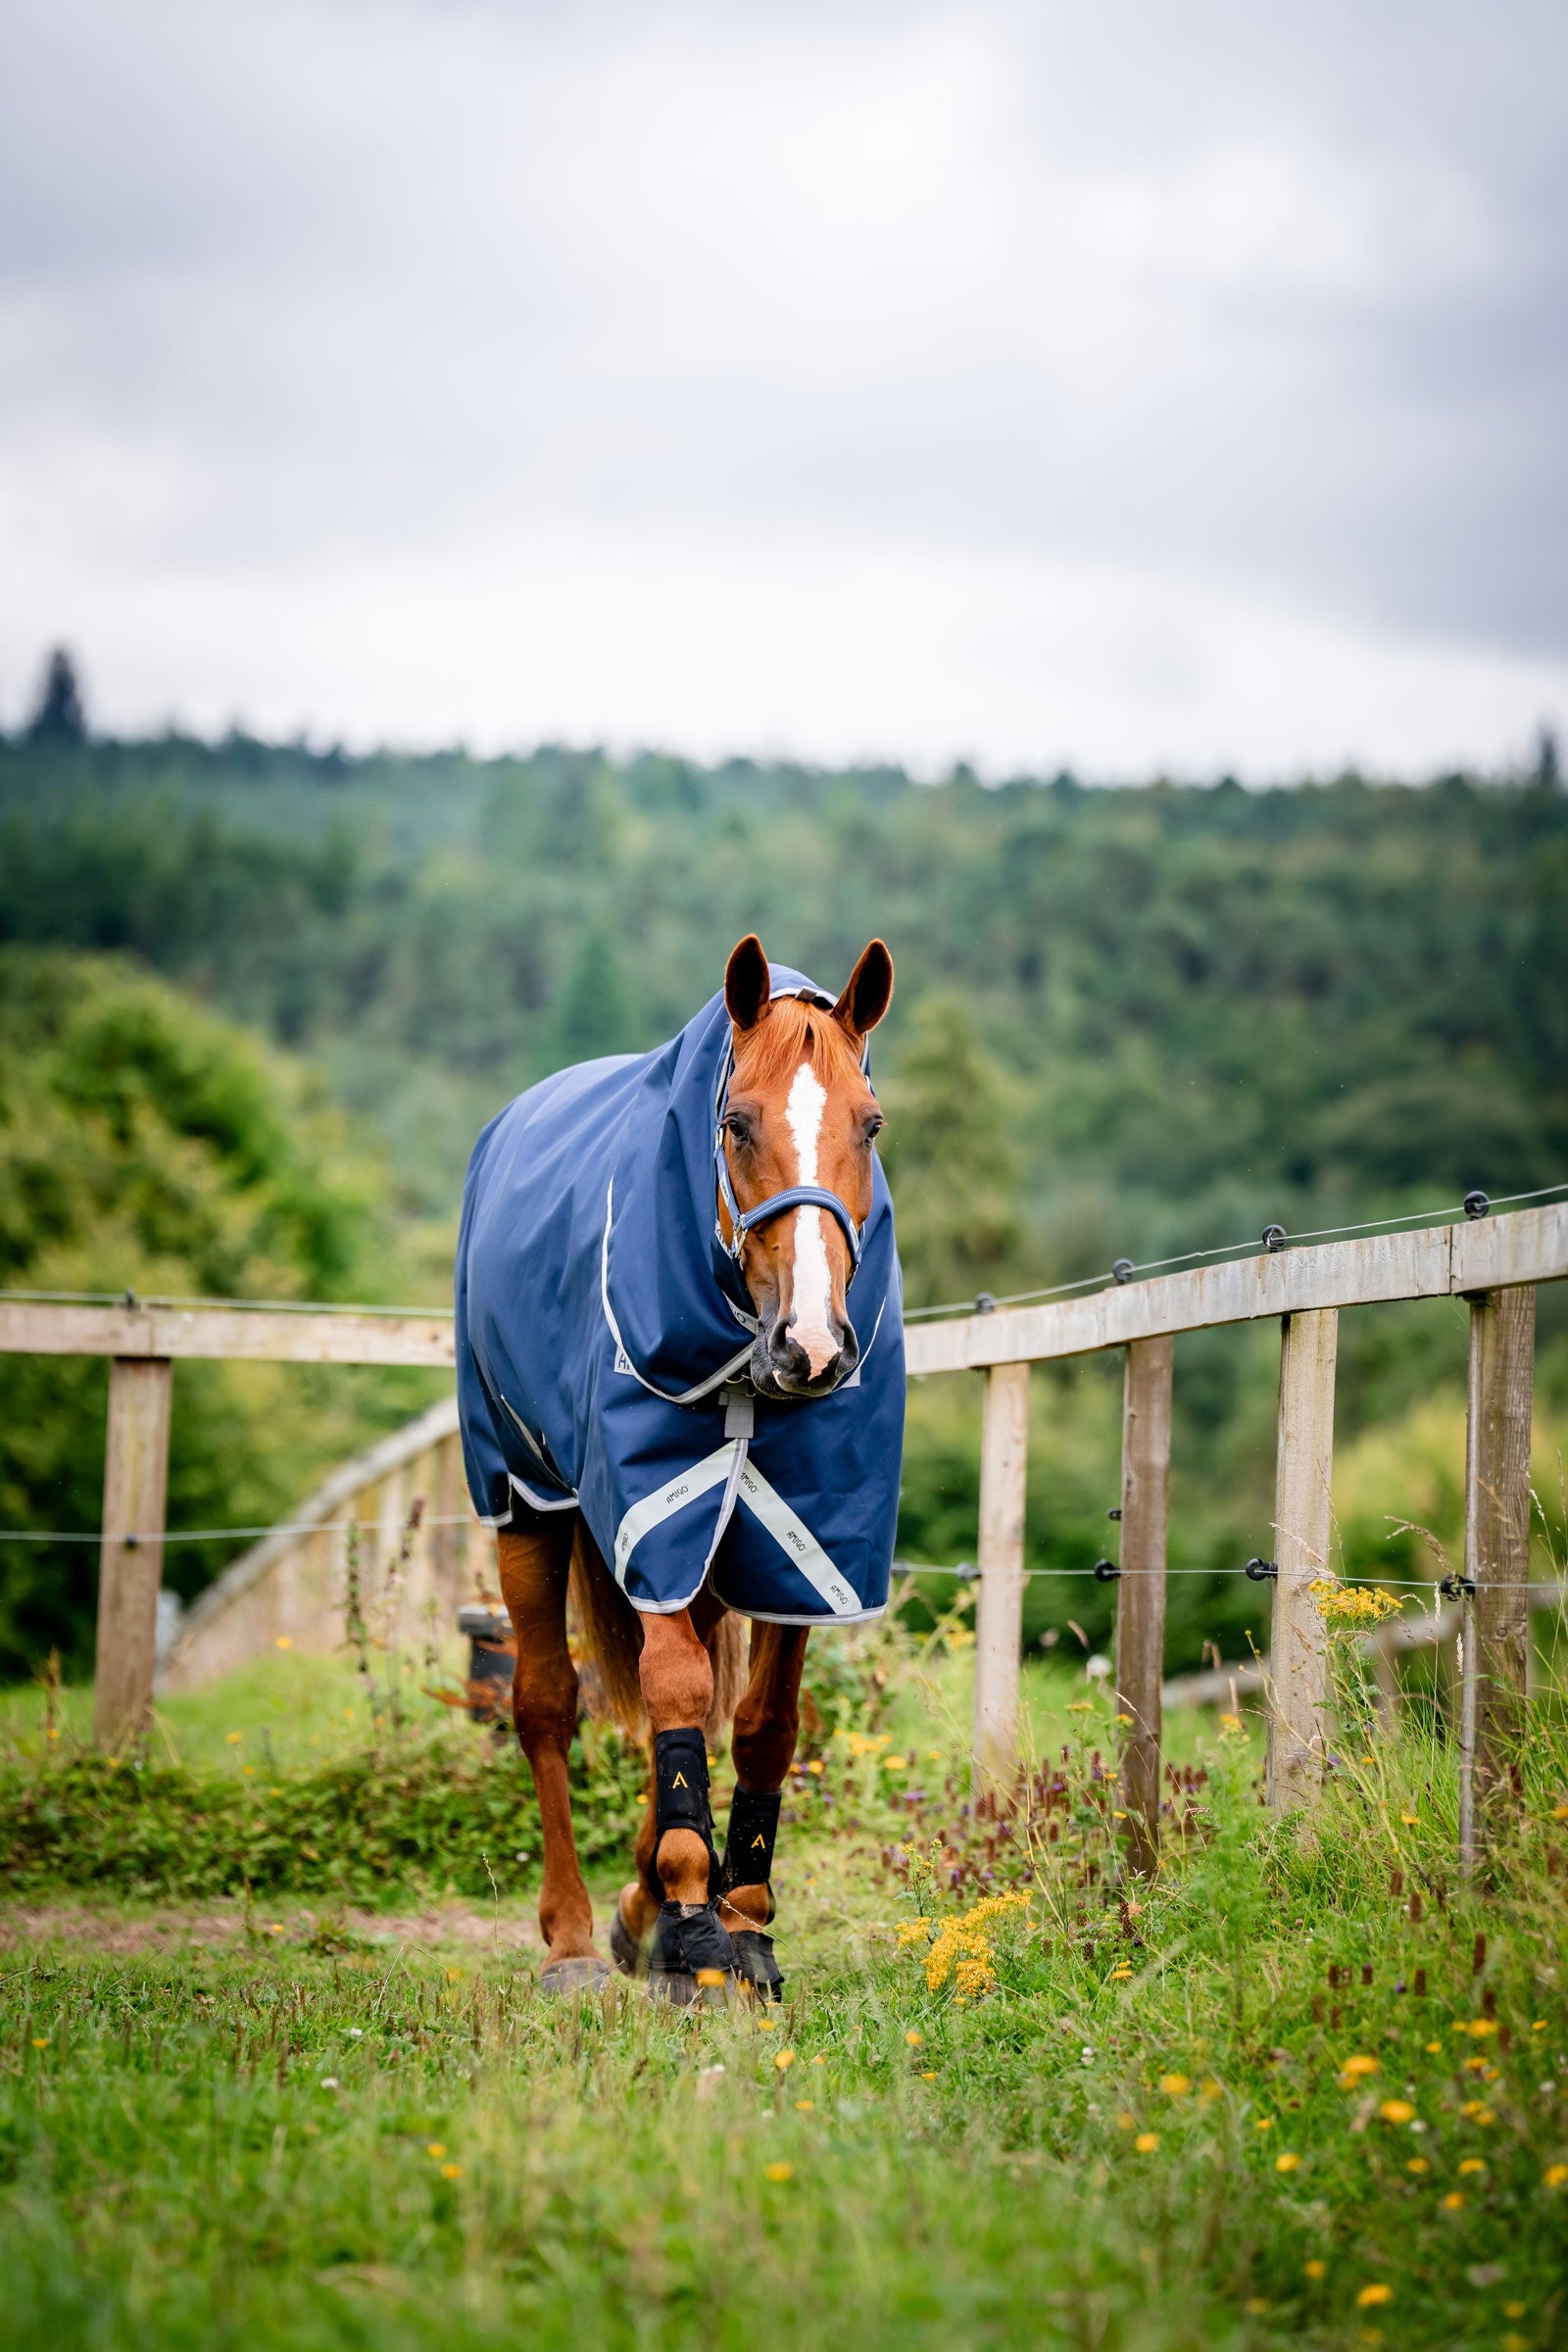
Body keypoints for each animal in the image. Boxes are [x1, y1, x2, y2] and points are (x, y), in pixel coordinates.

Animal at [454, 933, 901, 2000]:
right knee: (544, 1704)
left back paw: (637, 1907)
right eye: (735, 1123)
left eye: (869, 1126)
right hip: (527, 1501)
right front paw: (696, 1917)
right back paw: (575, 1937)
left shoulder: (805, 1542)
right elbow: (670, 1690)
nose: (813, 1346)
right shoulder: (651, 1511)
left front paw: (742, 1917)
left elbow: (763, 1722)